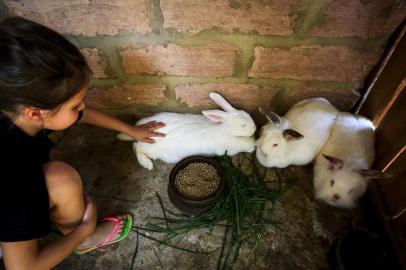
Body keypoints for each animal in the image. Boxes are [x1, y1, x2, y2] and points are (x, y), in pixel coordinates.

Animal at [118, 92, 256, 169]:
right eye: (243, 125)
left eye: (248, 115)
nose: (255, 128)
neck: (226, 130)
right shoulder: (230, 150)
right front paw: (252, 148)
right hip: (151, 149)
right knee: (136, 147)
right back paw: (147, 164)